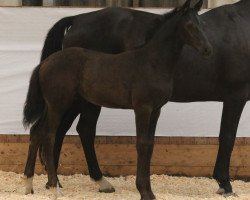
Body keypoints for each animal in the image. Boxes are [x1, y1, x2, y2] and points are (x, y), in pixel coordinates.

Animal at [40, 0, 249, 195]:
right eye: (190, 26)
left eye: (202, 25)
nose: (207, 49)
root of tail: (77, 19)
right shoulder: (235, 97)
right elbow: (227, 137)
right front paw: (225, 184)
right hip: (79, 99)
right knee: (71, 130)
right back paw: (62, 182)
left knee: (72, 129)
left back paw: (69, 182)